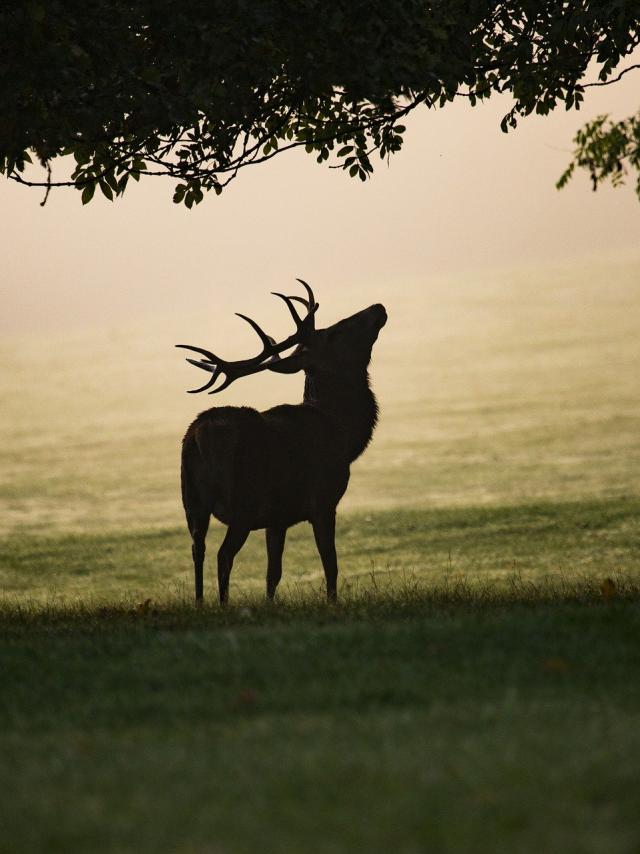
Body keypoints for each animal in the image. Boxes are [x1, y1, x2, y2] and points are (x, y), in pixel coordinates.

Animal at [177, 279, 387, 605]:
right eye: (334, 332)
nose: (377, 307)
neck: (343, 435)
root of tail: (199, 435)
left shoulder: (276, 518)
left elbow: (272, 574)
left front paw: (269, 603)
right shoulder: (323, 500)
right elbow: (331, 563)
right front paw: (332, 602)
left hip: (192, 501)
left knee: (197, 550)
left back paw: (200, 604)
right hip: (243, 500)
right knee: (223, 556)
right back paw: (223, 605)